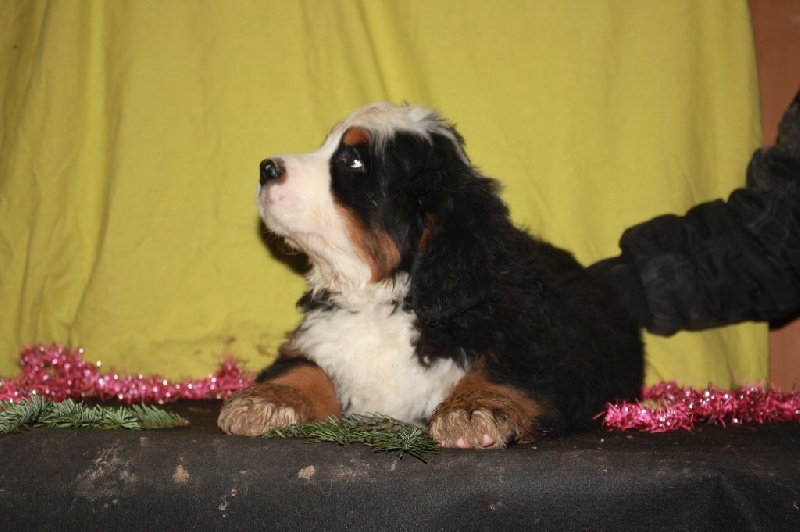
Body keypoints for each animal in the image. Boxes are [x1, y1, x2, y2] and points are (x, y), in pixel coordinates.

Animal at [218, 102, 643, 448]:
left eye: (353, 162)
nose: (266, 168)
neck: (381, 298)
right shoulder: (315, 339)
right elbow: (304, 366)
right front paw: (267, 400)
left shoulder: (539, 338)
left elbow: (507, 368)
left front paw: (473, 410)